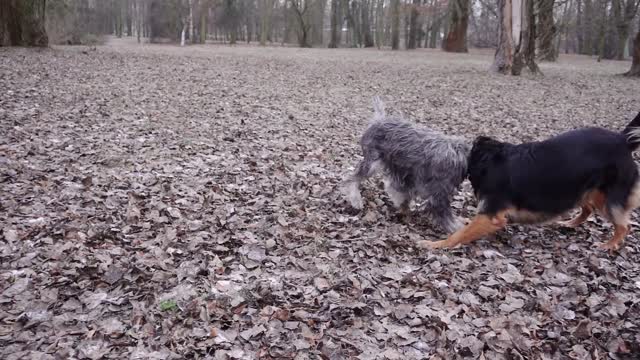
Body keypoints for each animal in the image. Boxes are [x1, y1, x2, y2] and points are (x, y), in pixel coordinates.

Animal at [344, 97, 470, 232]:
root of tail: (379, 119)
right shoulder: (439, 194)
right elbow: (447, 217)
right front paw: (458, 228)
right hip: (373, 164)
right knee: (351, 179)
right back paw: (356, 200)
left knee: (392, 186)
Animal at [418, 112, 640, 250]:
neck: (488, 160)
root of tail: (622, 140)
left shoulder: (491, 215)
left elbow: (459, 234)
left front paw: (434, 245)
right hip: (584, 189)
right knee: (588, 209)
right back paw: (569, 223)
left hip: (610, 198)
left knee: (624, 226)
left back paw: (608, 245)